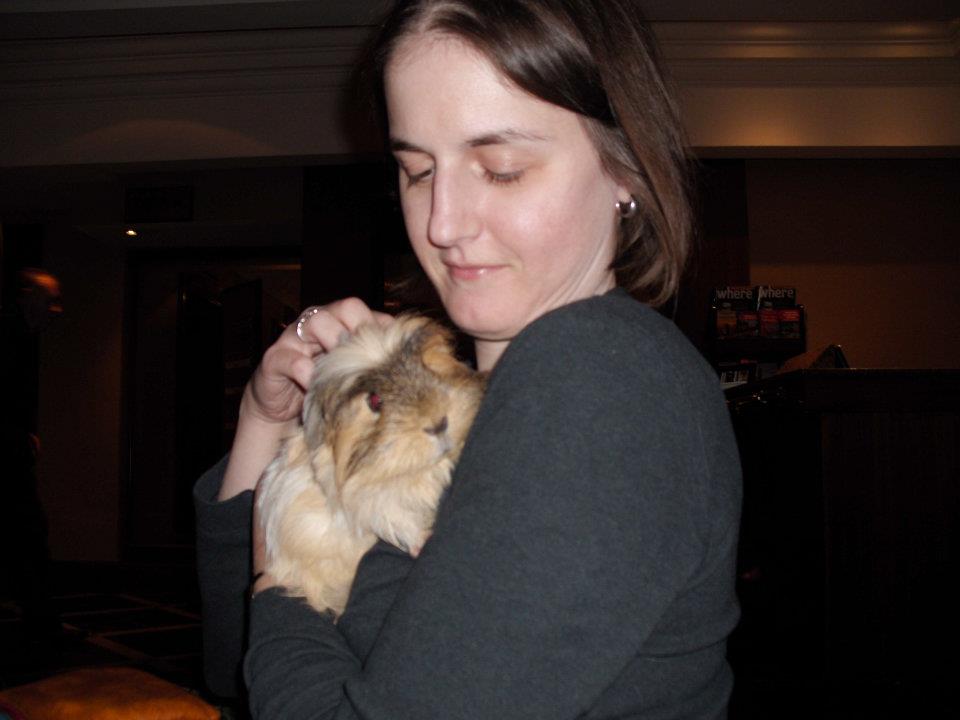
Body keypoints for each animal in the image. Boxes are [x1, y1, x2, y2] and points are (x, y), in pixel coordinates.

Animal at [256, 314, 486, 617]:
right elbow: (394, 515)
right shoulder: (367, 504)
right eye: (374, 400)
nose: (438, 424)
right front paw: (422, 541)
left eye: (427, 365)